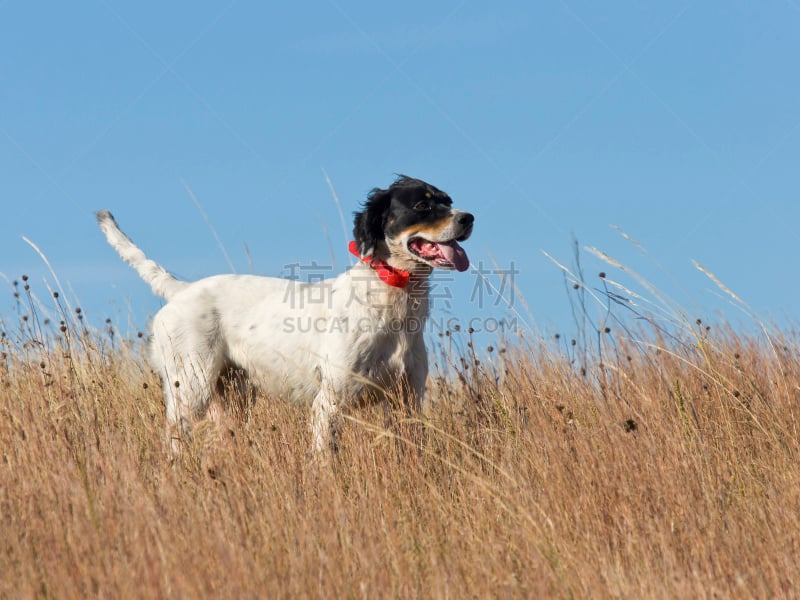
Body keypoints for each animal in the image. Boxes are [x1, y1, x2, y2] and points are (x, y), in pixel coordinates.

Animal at [99, 176, 476, 452]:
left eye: (448, 200)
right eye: (422, 204)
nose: (468, 217)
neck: (392, 302)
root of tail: (182, 290)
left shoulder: (407, 402)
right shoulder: (330, 403)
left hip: (231, 397)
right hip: (190, 387)